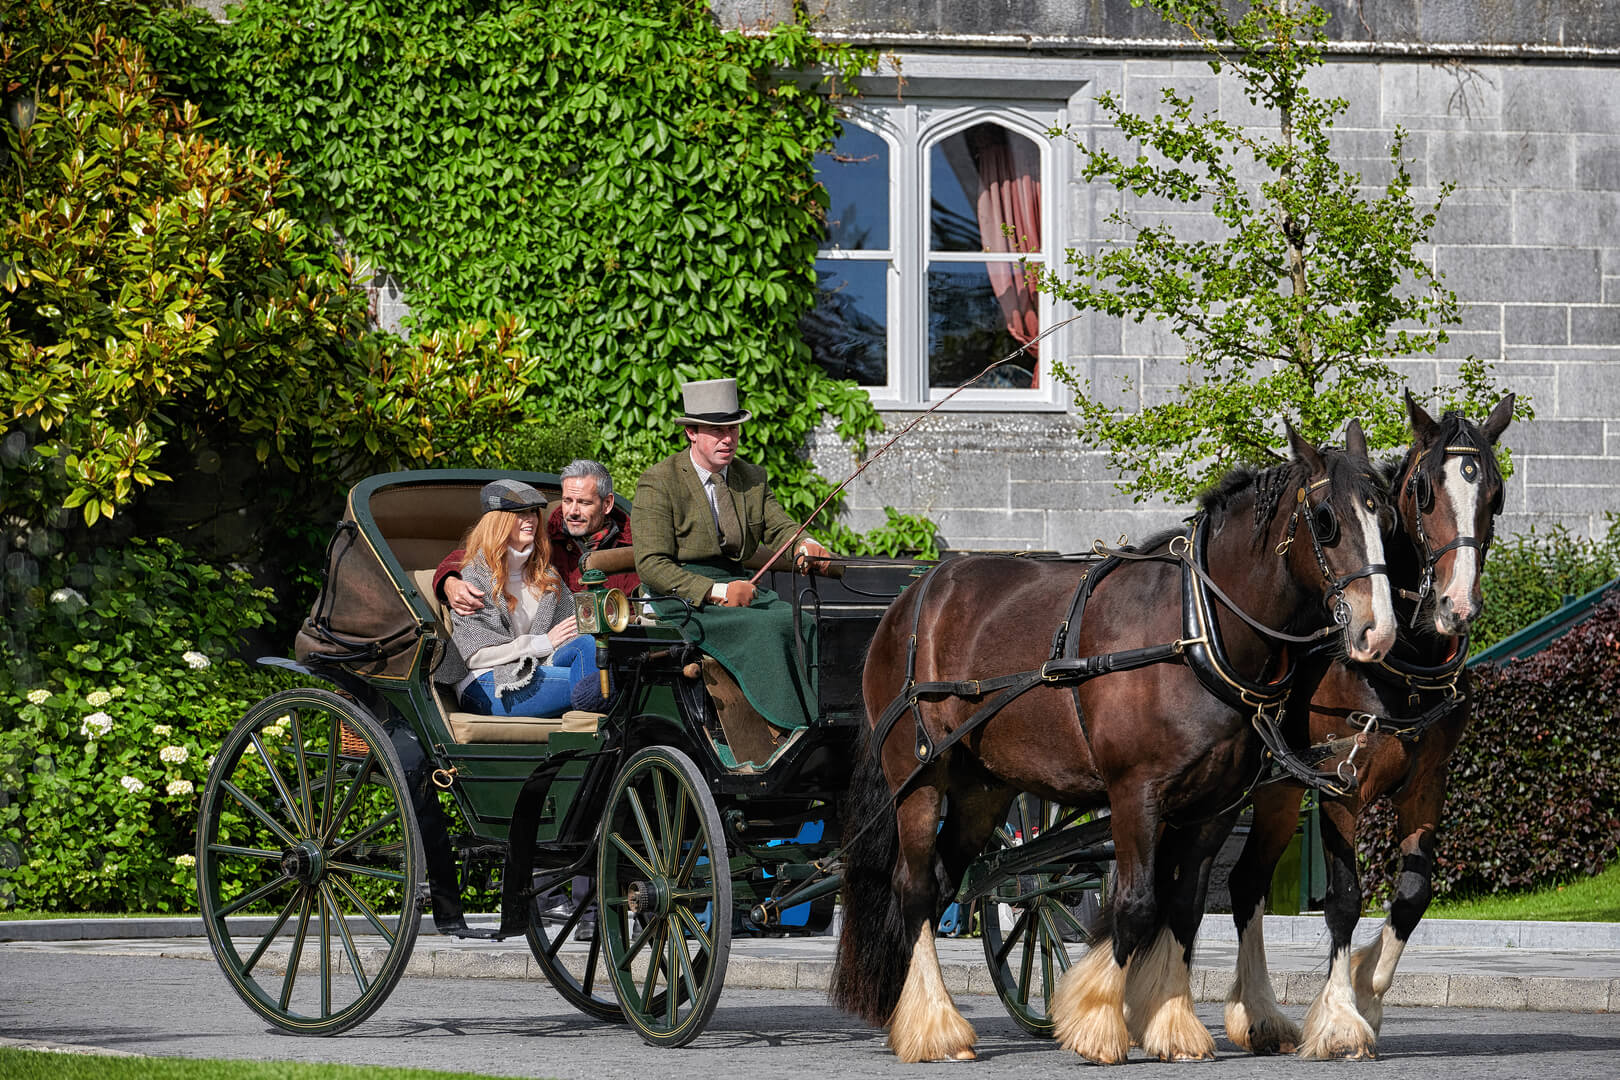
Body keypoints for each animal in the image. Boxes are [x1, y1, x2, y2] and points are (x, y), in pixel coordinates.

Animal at [830, 423, 1398, 1064]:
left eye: (1385, 515)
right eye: (1325, 520)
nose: (1377, 632)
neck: (1195, 630)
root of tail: (908, 598)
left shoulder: (1213, 807)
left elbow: (1183, 905)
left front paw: (1172, 1025)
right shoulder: (1136, 794)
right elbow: (1135, 903)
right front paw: (1098, 1021)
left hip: (981, 789)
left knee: (948, 879)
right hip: (919, 776)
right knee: (916, 887)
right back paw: (935, 1026)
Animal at [1223, 393, 1514, 1060]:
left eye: (1496, 493)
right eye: (1425, 491)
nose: (1458, 607)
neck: (1404, 663)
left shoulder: (1428, 783)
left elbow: (1411, 896)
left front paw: (1367, 990)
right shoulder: (1340, 784)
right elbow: (1344, 899)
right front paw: (1338, 1018)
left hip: (1279, 792)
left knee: (1246, 881)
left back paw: (1258, 1015)